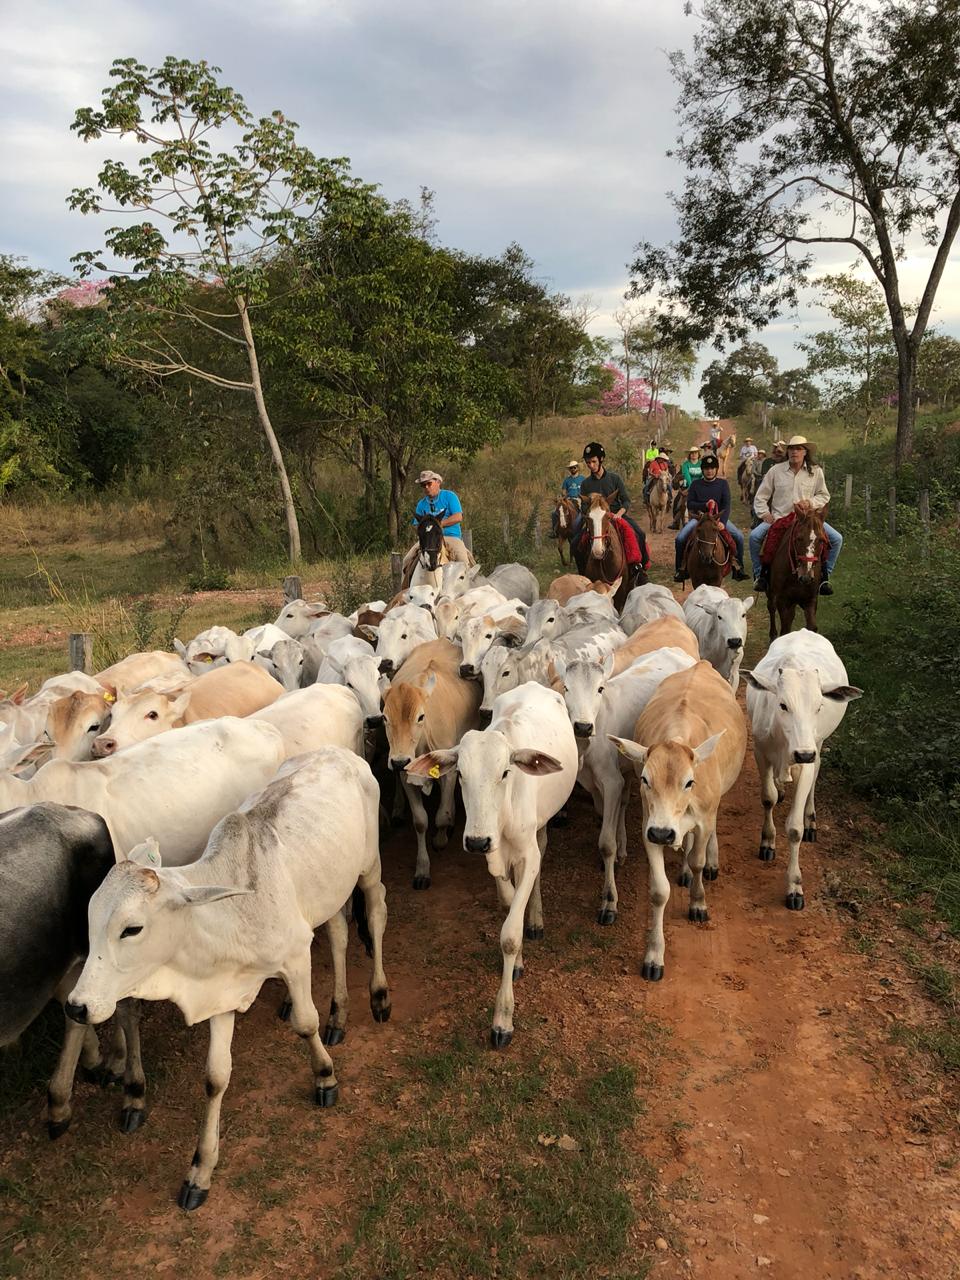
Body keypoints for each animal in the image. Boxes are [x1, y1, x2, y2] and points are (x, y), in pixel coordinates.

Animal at [384, 640, 481, 890]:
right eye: (385, 717)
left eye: (421, 717)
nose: (398, 760)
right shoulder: (405, 776)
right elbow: (420, 821)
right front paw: (422, 870)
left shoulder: (448, 772)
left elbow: (442, 815)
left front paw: (440, 838)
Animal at [611, 660, 747, 977]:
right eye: (645, 779)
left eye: (689, 782)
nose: (664, 833)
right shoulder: (649, 827)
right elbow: (659, 891)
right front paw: (654, 955)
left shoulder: (704, 819)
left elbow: (697, 860)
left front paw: (698, 903)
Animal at [768, 506, 829, 640]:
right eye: (799, 538)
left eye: (821, 540)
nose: (806, 577)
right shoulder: (783, 600)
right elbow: (785, 629)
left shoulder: (810, 599)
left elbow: (812, 627)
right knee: (771, 609)